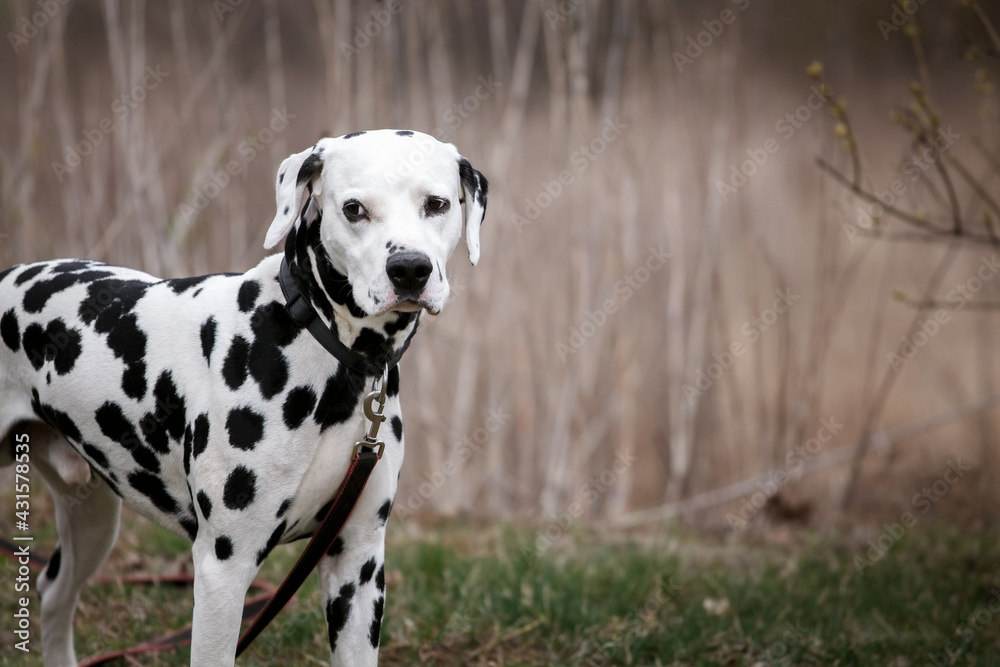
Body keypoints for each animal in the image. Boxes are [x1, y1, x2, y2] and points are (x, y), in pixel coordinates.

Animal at [0, 128, 486, 664]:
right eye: (354, 208)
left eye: (436, 203)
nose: (409, 269)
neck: (318, 339)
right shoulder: (223, 568)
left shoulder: (356, 564)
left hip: (92, 521)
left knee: (53, 592)